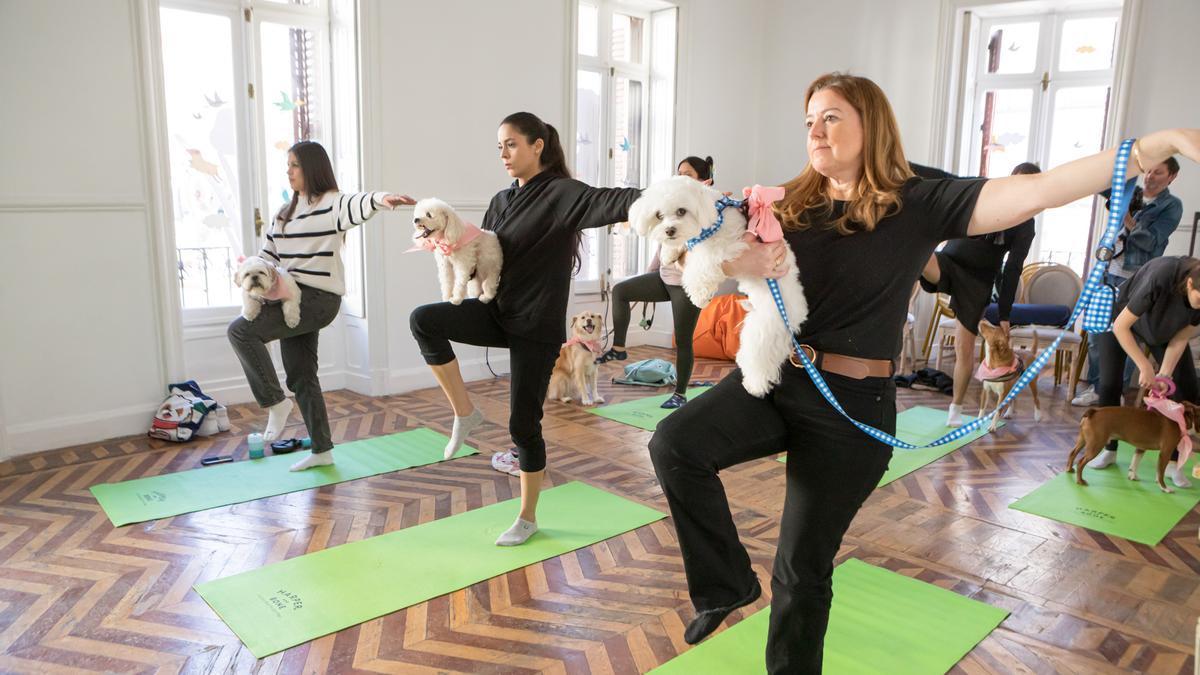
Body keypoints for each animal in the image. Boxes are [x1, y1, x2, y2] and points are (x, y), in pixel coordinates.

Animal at [628, 176, 806, 396]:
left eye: (681, 211)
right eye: (659, 216)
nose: (669, 231)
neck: (714, 216)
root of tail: (796, 315)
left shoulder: (728, 247)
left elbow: (702, 264)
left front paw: (698, 294)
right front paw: (669, 253)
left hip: (764, 329)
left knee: (760, 360)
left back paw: (755, 386)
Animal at [1065, 401, 1195, 492]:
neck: (1180, 418)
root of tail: (1094, 411)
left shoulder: (1141, 448)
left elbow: (1135, 463)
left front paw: (1133, 476)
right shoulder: (1165, 453)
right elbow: (1160, 473)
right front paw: (1164, 488)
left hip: (1083, 440)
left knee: (1072, 452)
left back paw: (1069, 469)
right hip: (1095, 445)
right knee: (1081, 462)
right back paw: (1080, 481)